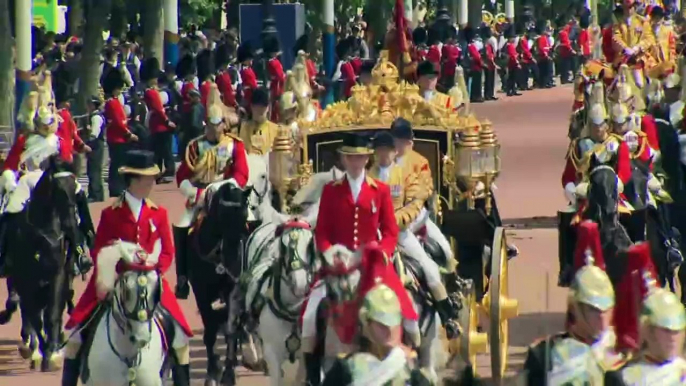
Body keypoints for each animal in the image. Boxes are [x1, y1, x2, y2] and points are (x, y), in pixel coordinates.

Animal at [5, 156, 87, 370]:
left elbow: (51, 314)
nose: (71, 225)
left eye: (74, 185)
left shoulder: (57, 275)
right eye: (58, 187)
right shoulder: (26, 279)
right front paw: (39, 351)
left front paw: (52, 353)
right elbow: (34, 316)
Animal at [187, 182, 251, 386]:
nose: (233, 259)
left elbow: (230, 330)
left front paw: (228, 373)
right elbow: (210, 330)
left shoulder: (232, 289)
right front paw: (212, 371)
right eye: (223, 215)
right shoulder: (201, 293)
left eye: (245, 214)